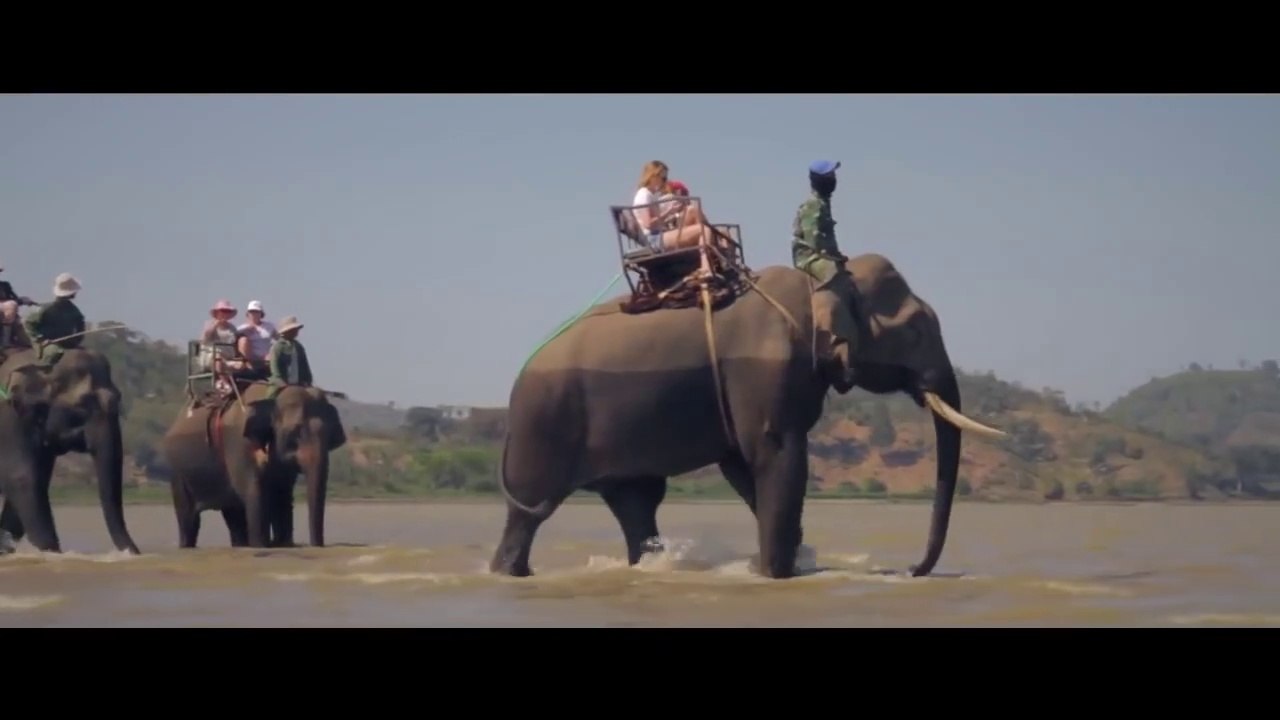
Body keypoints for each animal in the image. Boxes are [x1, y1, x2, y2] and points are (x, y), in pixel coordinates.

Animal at [0, 348, 141, 555]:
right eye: (83, 403)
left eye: (118, 397)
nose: (132, 553)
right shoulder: (9, 420)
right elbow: (22, 479)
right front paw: (52, 553)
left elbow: (34, 484)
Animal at [159, 382, 347, 549]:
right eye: (295, 433)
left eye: (331, 435)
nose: (317, 545)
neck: (273, 396)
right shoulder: (239, 445)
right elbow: (254, 493)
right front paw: (262, 546)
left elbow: (283, 495)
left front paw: (283, 545)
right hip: (177, 471)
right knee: (189, 518)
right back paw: (187, 546)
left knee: (233, 513)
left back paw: (241, 545)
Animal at [489, 253, 1006, 580]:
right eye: (916, 331)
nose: (914, 570)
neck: (816, 282)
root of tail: (518, 377)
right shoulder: (763, 370)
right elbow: (776, 457)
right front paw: (778, 576)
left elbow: (744, 466)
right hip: (544, 422)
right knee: (530, 512)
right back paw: (510, 573)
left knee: (637, 504)